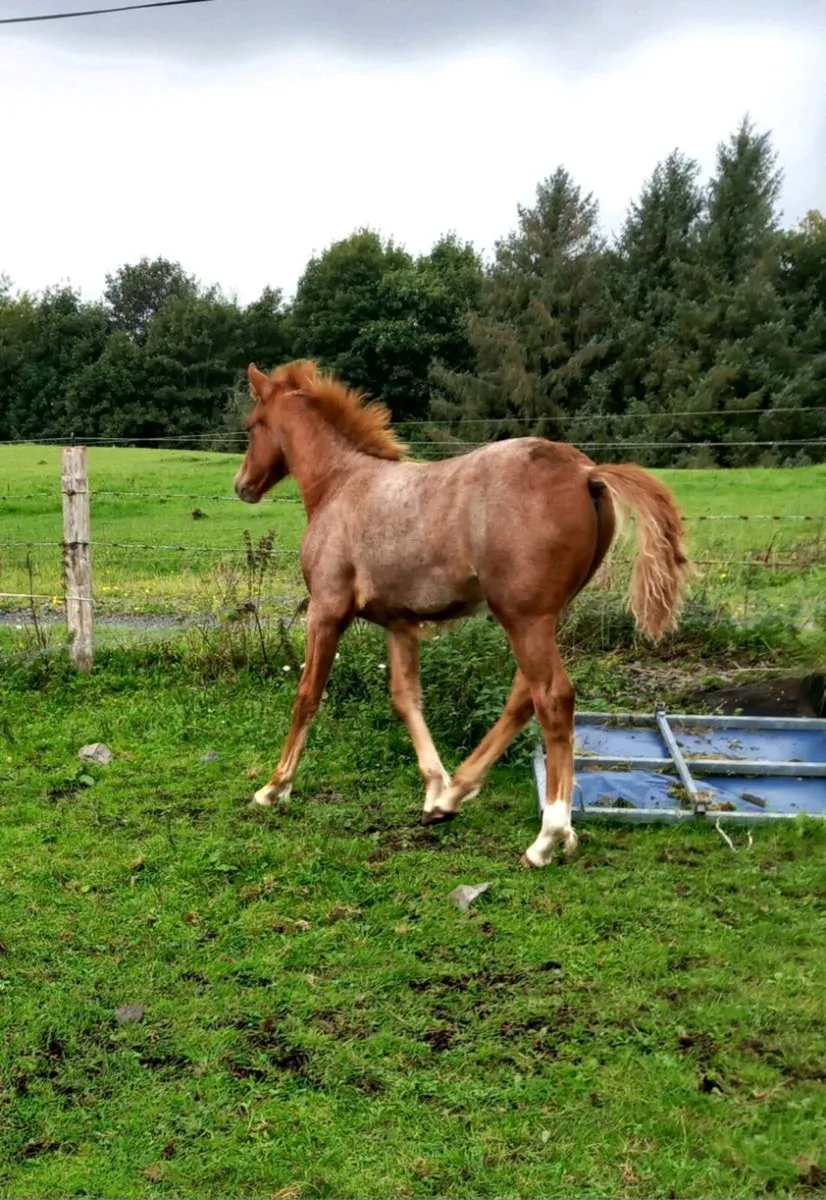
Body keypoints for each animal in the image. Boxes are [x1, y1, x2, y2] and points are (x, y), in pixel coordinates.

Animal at [234, 359, 690, 868]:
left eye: (251, 426)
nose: (243, 485)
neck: (342, 484)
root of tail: (587, 471)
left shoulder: (327, 610)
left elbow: (308, 694)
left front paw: (275, 787)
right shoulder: (399, 623)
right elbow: (405, 698)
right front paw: (435, 787)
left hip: (523, 617)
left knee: (553, 697)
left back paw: (548, 836)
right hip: (543, 617)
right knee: (524, 696)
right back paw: (458, 798)